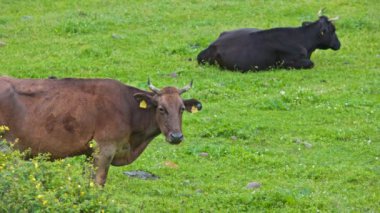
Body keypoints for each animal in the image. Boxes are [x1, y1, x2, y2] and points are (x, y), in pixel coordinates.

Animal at [0, 76, 202, 185]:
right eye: (161, 108)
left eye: (181, 108)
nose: (176, 136)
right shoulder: (104, 149)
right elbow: (98, 182)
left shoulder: (90, 152)